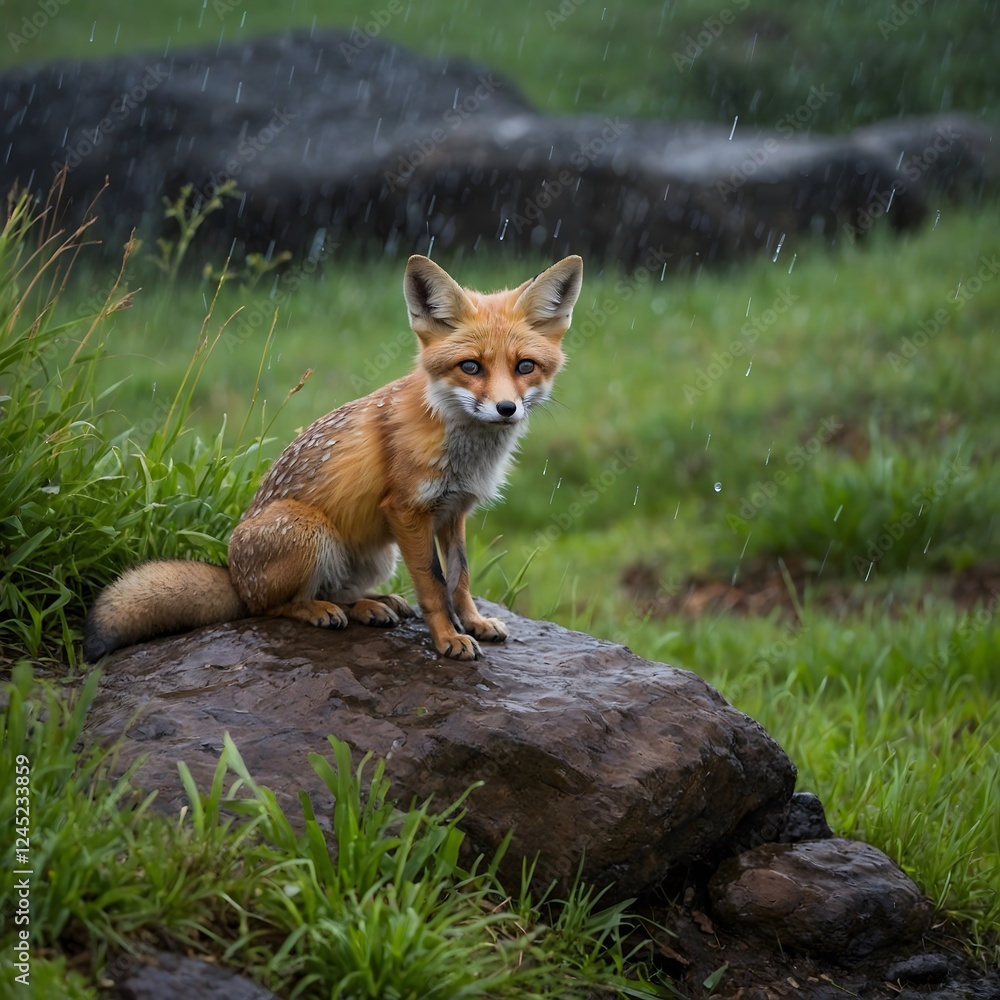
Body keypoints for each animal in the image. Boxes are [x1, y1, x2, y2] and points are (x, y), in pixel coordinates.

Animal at [83, 253, 583, 663]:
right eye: (471, 367)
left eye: (524, 367)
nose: (506, 408)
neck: (462, 446)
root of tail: (233, 574)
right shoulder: (407, 510)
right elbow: (433, 585)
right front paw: (447, 639)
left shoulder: (453, 511)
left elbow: (459, 581)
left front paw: (474, 622)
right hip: (310, 532)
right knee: (268, 608)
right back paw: (321, 610)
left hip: (377, 555)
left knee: (340, 592)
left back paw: (371, 605)